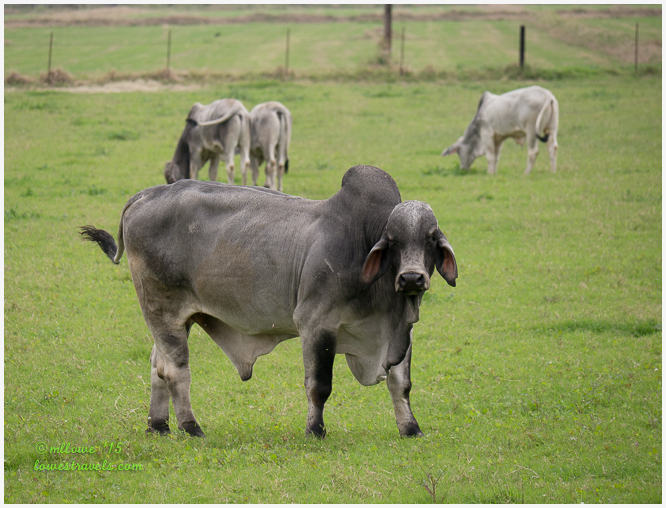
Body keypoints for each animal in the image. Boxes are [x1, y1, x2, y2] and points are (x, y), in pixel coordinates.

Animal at [79, 165, 457, 439]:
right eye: (392, 240)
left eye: (430, 239)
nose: (411, 279)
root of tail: (145, 194)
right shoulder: (316, 323)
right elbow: (319, 386)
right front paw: (315, 430)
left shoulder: (401, 330)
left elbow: (400, 384)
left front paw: (410, 428)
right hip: (163, 309)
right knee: (175, 370)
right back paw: (191, 427)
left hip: (173, 319)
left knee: (157, 366)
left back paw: (158, 426)